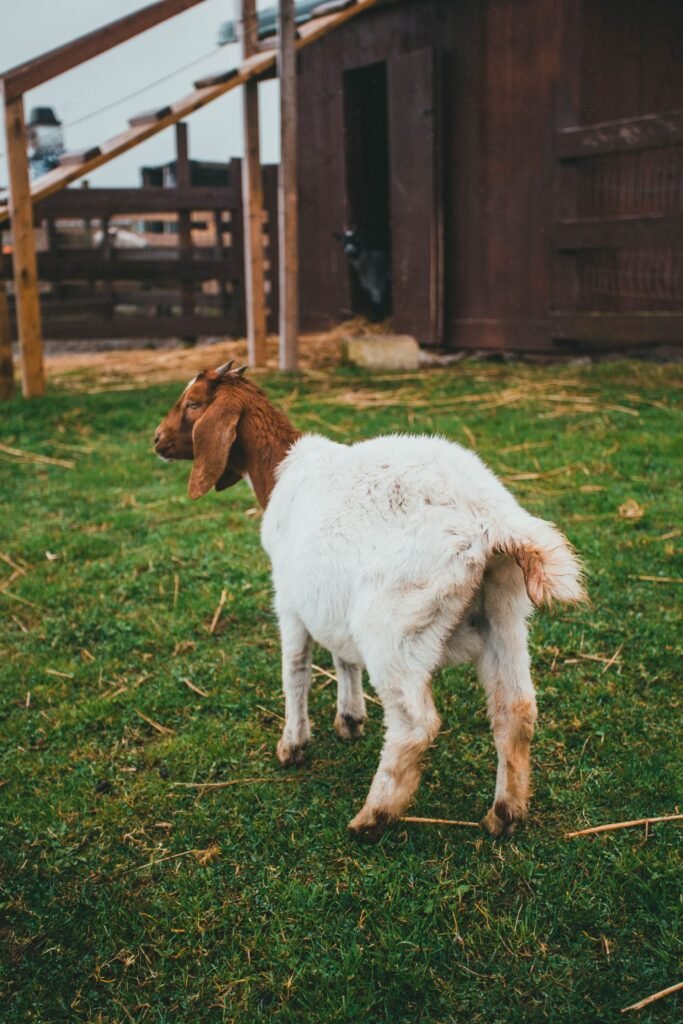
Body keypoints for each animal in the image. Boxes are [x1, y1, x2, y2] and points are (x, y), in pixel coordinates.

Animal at [154, 363, 586, 839]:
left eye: (193, 403)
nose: (156, 440)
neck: (280, 471)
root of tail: (488, 521)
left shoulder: (289, 599)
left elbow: (295, 669)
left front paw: (293, 744)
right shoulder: (329, 600)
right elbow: (344, 658)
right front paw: (349, 718)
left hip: (395, 626)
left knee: (415, 724)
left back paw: (374, 815)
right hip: (505, 614)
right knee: (517, 709)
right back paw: (504, 813)